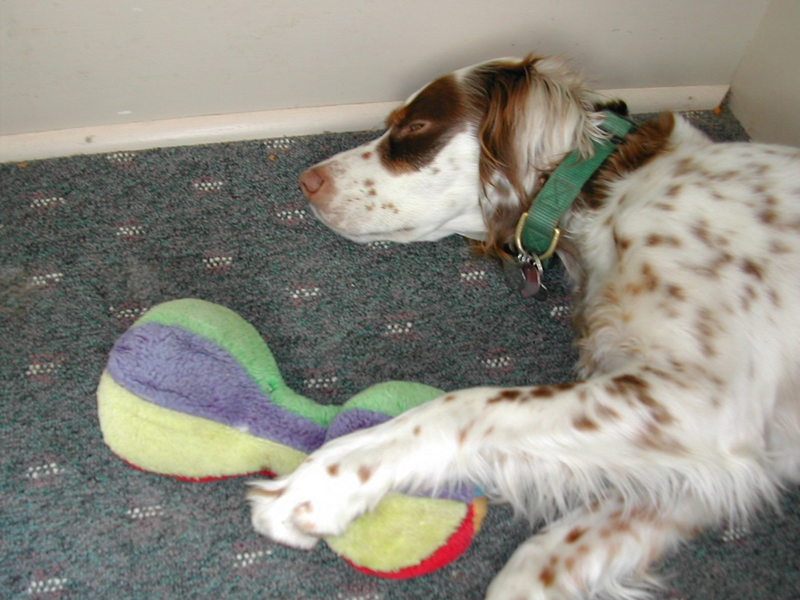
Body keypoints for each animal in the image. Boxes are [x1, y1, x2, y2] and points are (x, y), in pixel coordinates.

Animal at [248, 54, 800, 596]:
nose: (307, 180)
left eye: (417, 125)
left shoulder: (708, 399)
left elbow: (466, 406)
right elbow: (538, 560)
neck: (614, 194)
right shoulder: (710, 460)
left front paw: (321, 484)